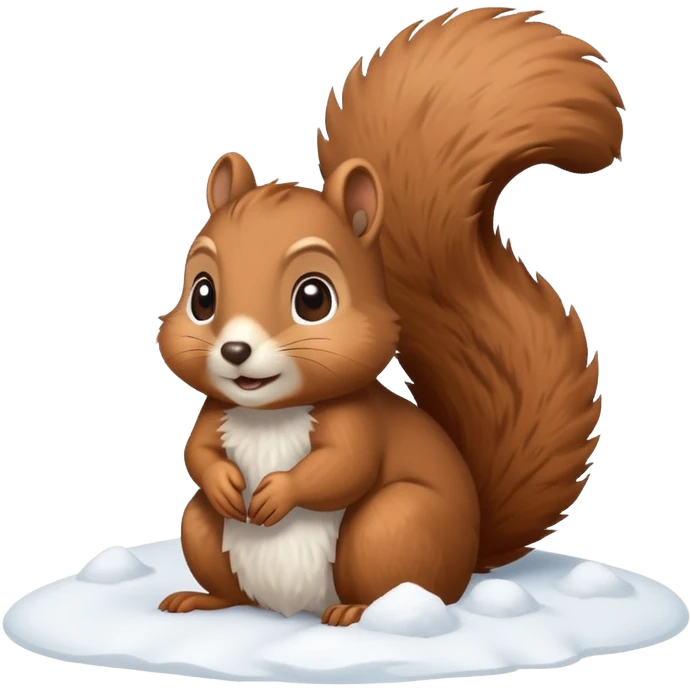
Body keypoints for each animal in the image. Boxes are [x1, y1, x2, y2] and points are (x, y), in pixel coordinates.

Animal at [155, 7, 623, 627]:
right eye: (202, 296)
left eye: (314, 299)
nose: (234, 352)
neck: (270, 414)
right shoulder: (217, 413)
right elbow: (197, 453)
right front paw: (227, 482)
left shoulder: (360, 424)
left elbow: (342, 468)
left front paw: (279, 492)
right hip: (204, 529)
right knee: (222, 566)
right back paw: (202, 599)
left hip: (394, 525)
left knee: (405, 581)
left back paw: (361, 613)